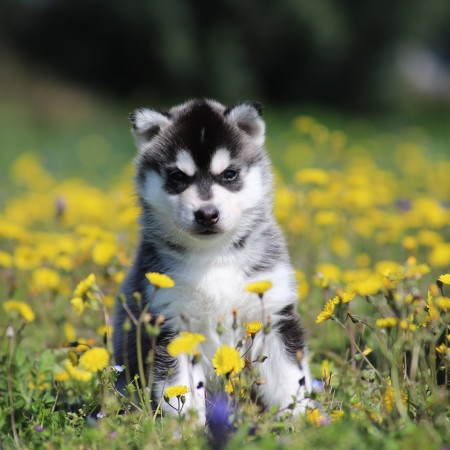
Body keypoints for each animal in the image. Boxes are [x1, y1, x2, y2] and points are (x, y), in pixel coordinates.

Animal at [112, 99, 312, 422]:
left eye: (229, 174)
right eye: (178, 177)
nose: (207, 214)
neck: (214, 256)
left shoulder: (273, 314)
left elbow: (290, 381)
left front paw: (305, 422)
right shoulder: (171, 324)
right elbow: (180, 393)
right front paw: (187, 430)